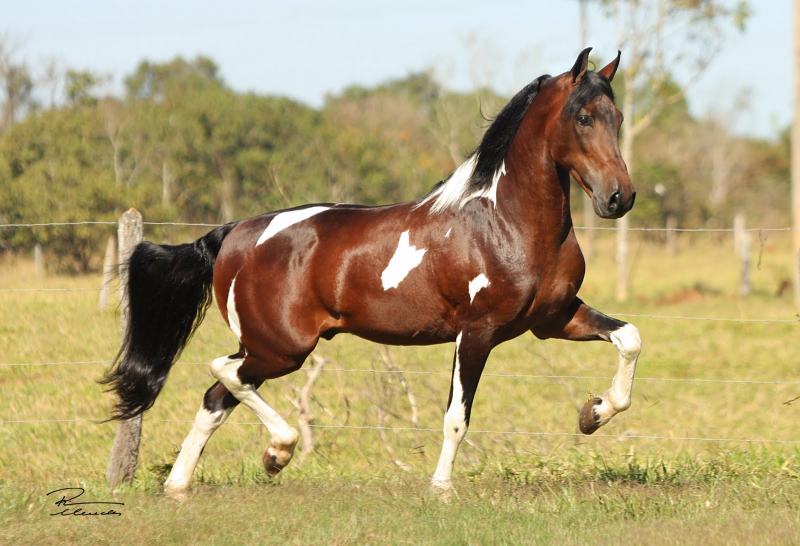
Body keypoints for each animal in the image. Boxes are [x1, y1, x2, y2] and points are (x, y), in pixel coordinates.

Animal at [104, 49, 644, 496]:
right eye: (583, 117)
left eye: (617, 118)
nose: (619, 197)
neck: (506, 222)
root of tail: (234, 234)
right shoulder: (477, 332)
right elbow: (456, 417)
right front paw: (441, 489)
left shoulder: (553, 319)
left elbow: (630, 337)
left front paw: (593, 413)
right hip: (282, 347)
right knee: (224, 372)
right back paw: (277, 452)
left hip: (269, 347)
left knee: (216, 395)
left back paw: (182, 485)